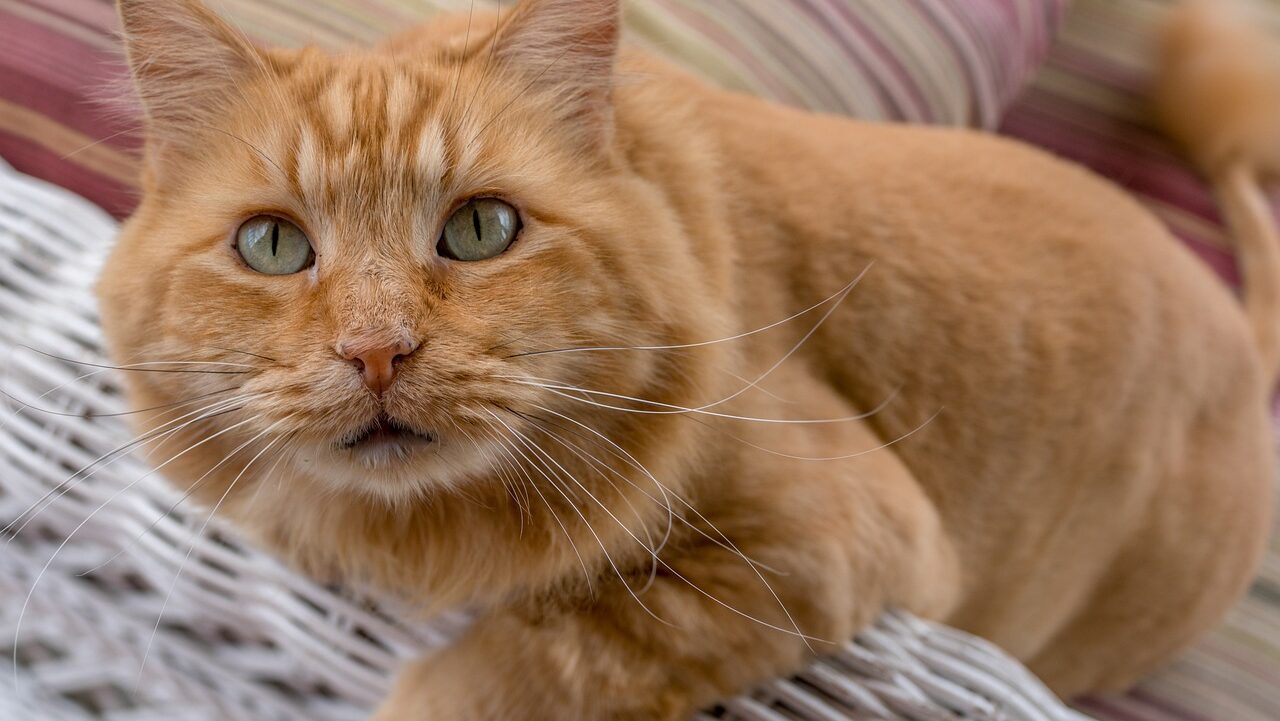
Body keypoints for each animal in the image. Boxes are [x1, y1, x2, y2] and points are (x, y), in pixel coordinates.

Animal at [99, 0, 1280, 717]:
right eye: (273, 246)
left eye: (480, 229)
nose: (377, 351)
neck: (421, 539)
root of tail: (1229, 318)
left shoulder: (823, 546)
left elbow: (535, 653)